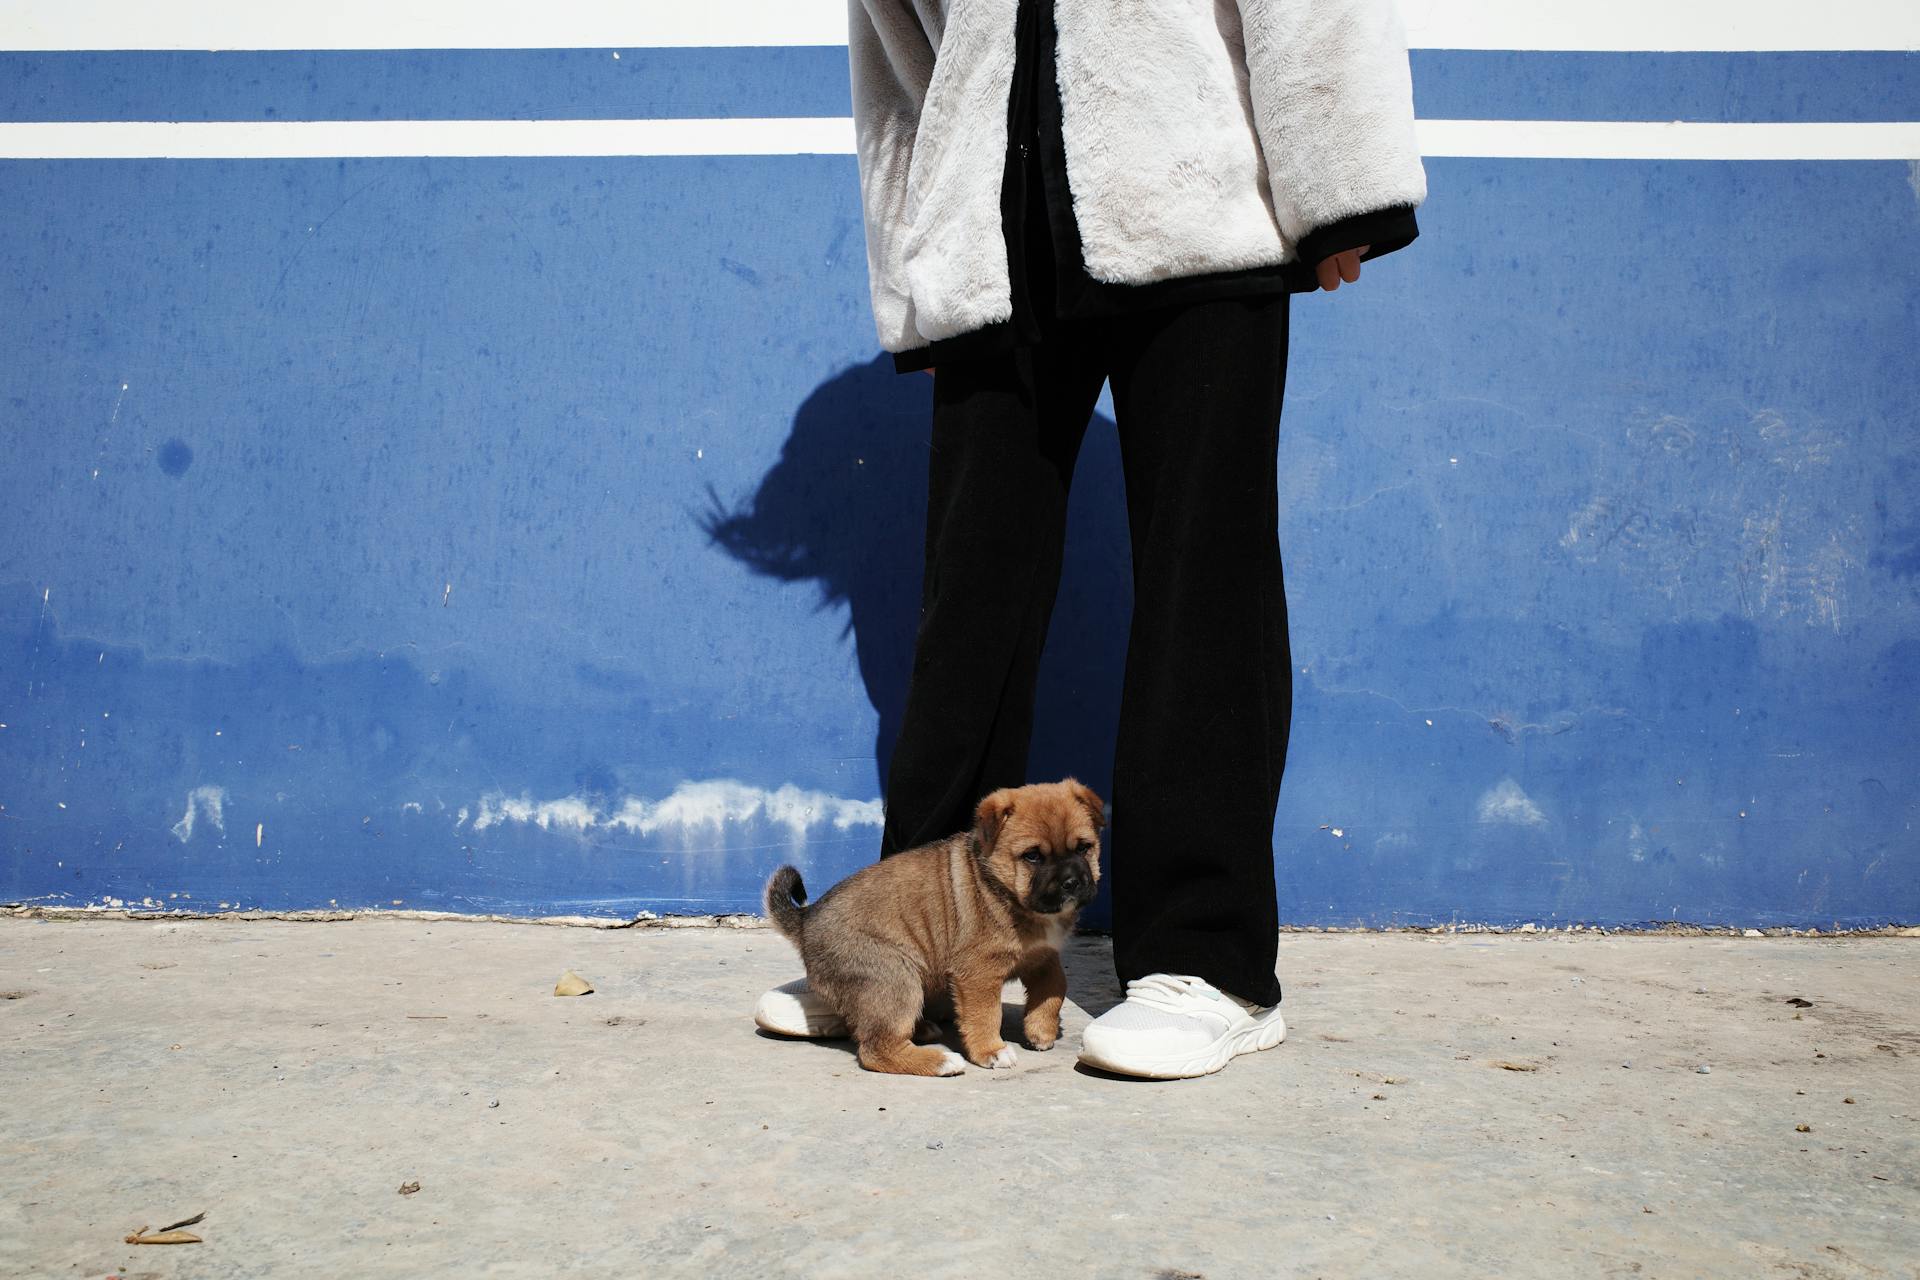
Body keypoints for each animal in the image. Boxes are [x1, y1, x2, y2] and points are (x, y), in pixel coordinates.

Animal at [760, 775, 1105, 1074]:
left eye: (1083, 847)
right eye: (1032, 856)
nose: (1072, 883)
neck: (1006, 892)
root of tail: (806, 920)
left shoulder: (1043, 956)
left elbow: (1056, 986)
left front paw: (1040, 1029)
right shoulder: (978, 973)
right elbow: (985, 1015)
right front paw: (991, 1051)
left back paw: (923, 1028)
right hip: (895, 979)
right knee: (876, 1049)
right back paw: (941, 1061)